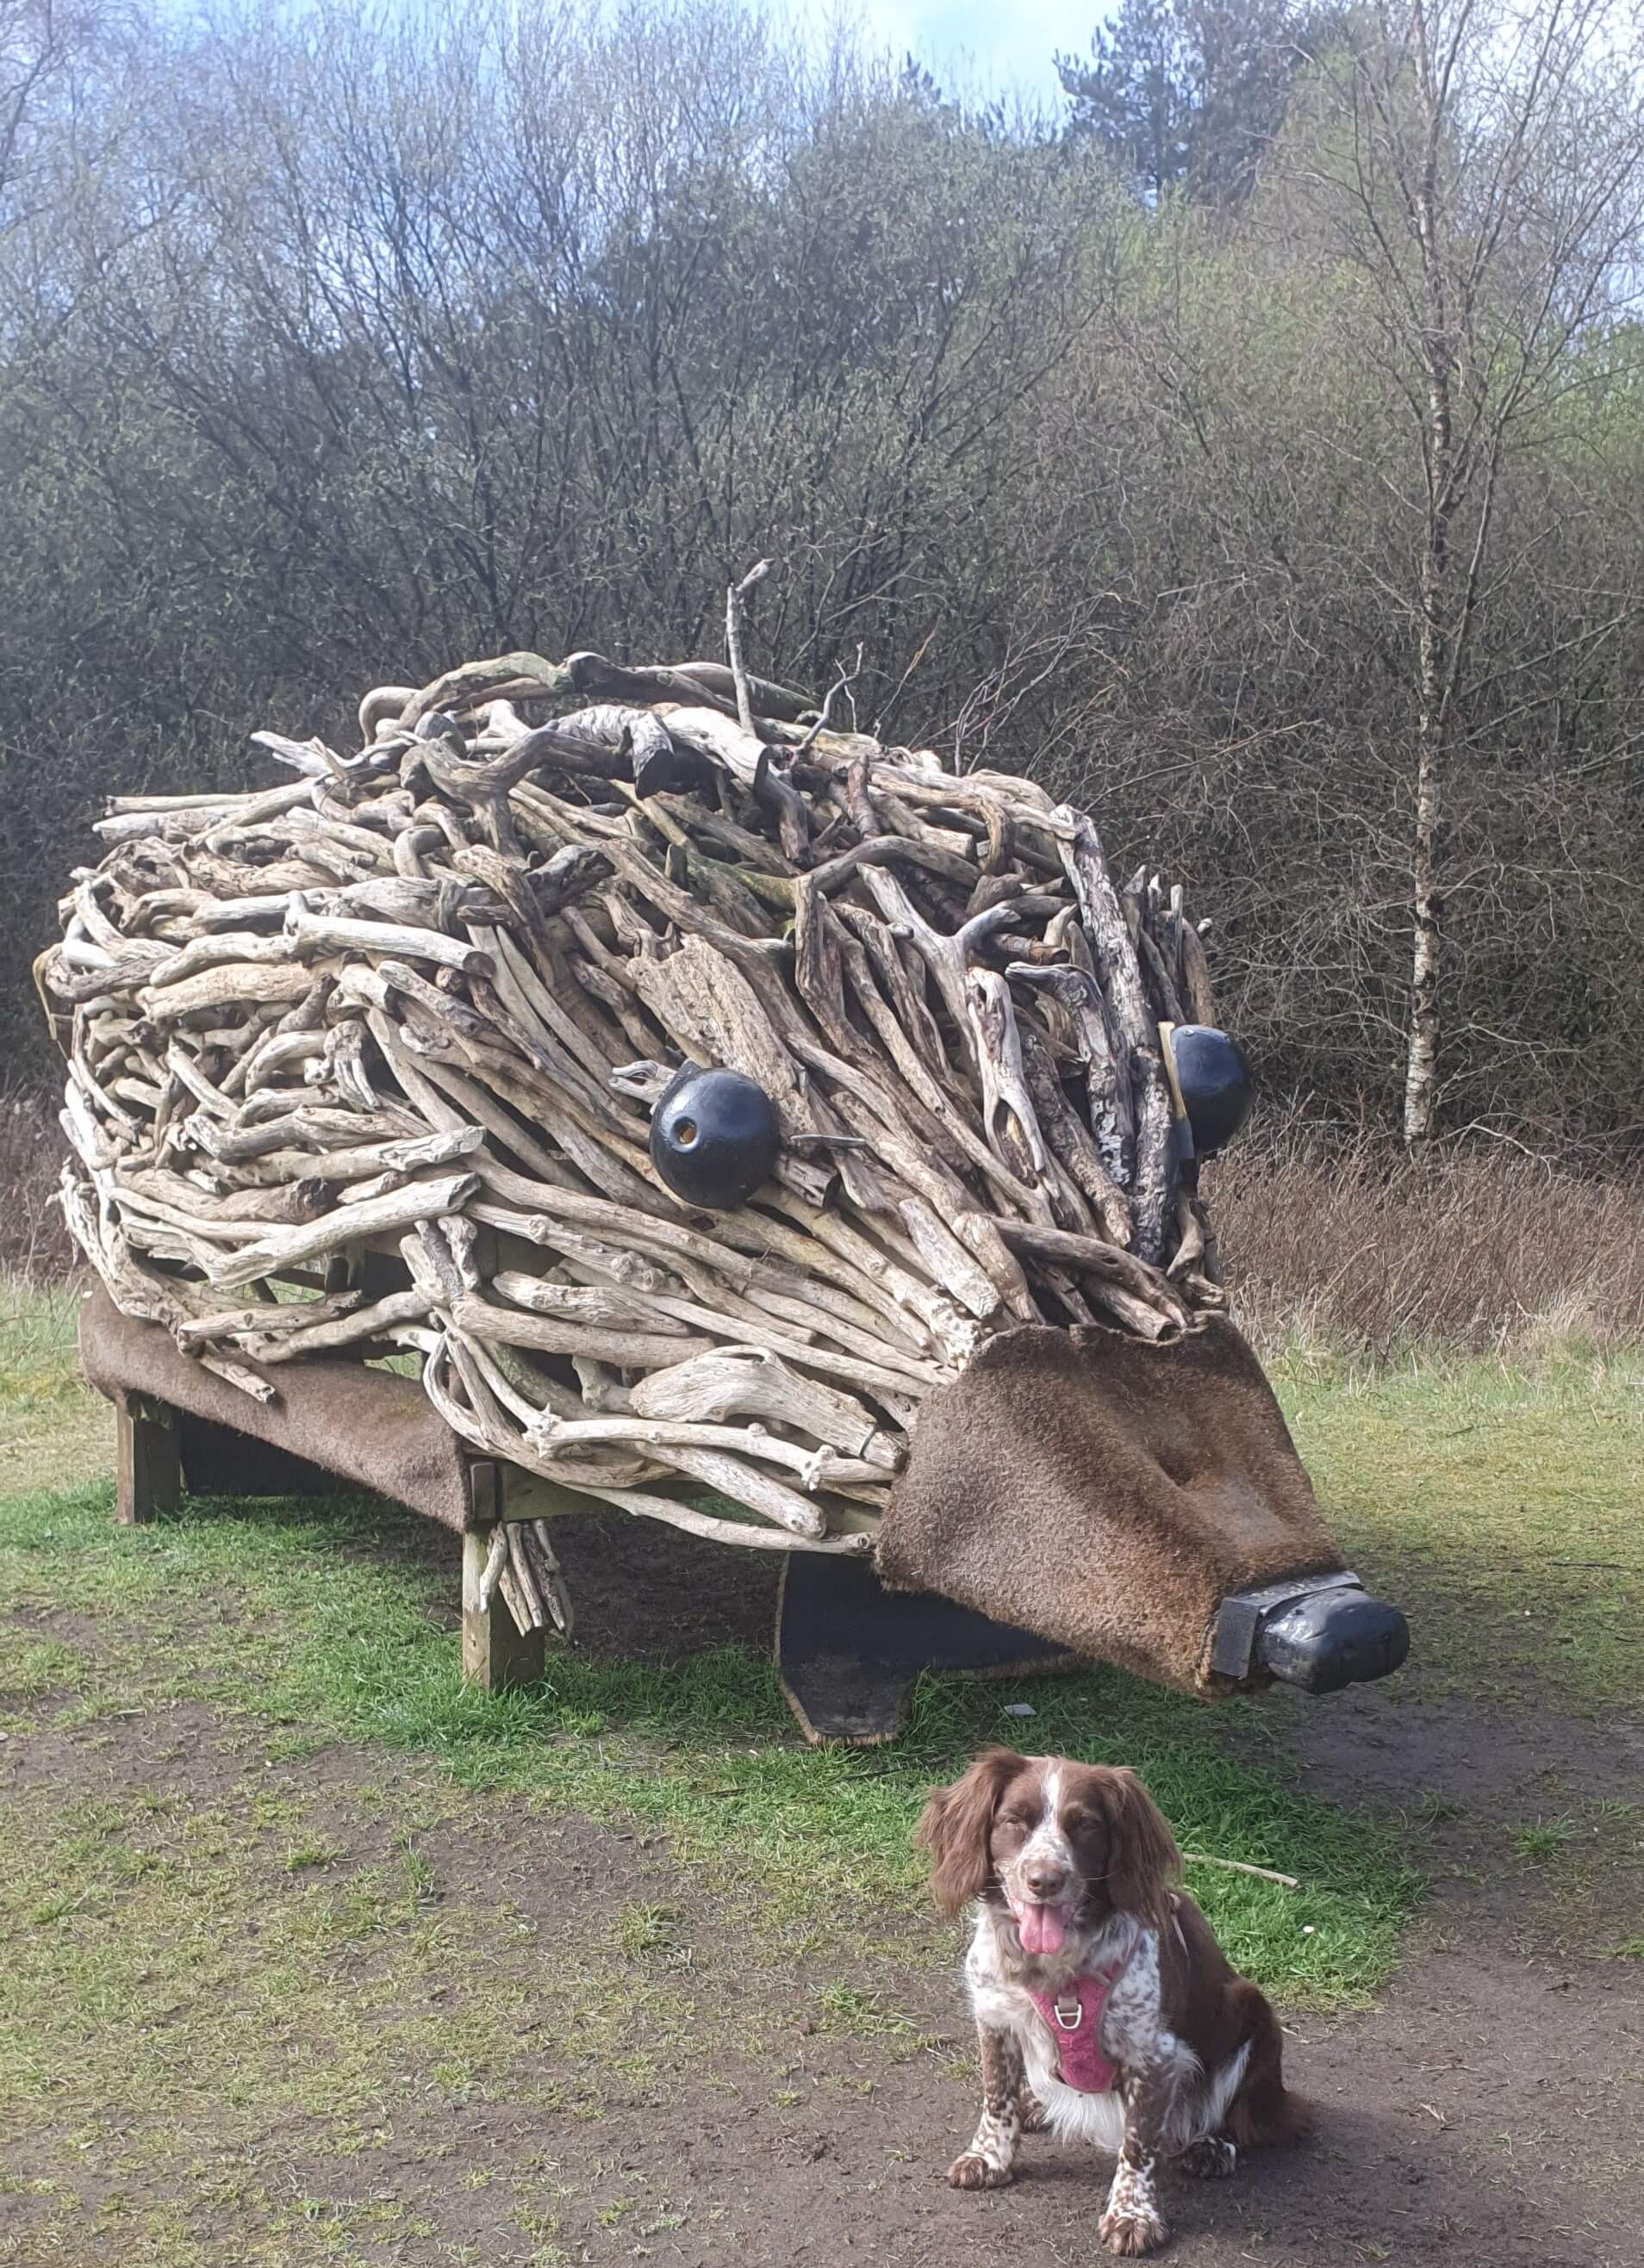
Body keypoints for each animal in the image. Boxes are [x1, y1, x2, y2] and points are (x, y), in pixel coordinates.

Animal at [916, 1748, 1308, 2255]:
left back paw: (1210, 2147)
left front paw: (1132, 2216)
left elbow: (1139, 2144)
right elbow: (995, 2096)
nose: (1045, 1880)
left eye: (1085, 1825)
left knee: (1230, 2112)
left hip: (1253, 2009)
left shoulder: (1156, 2056)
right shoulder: (996, 2018)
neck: (1055, 1969)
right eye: (1014, 1820)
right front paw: (989, 2158)